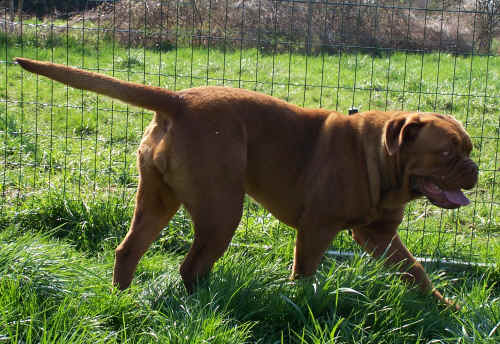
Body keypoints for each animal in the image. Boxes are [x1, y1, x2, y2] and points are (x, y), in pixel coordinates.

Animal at [15, 57, 476, 308]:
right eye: (447, 154)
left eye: (469, 149)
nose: (475, 169)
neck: (380, 157)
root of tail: (177, 101)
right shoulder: (317, 229)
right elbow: (304, 273)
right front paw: (300, 303)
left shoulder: (378, 236)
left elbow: (416, 271)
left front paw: (445, 308)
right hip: (222, 210)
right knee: (192, 265)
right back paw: (207, 304)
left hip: (157, 201)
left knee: (129, 250)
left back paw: (123, 299)